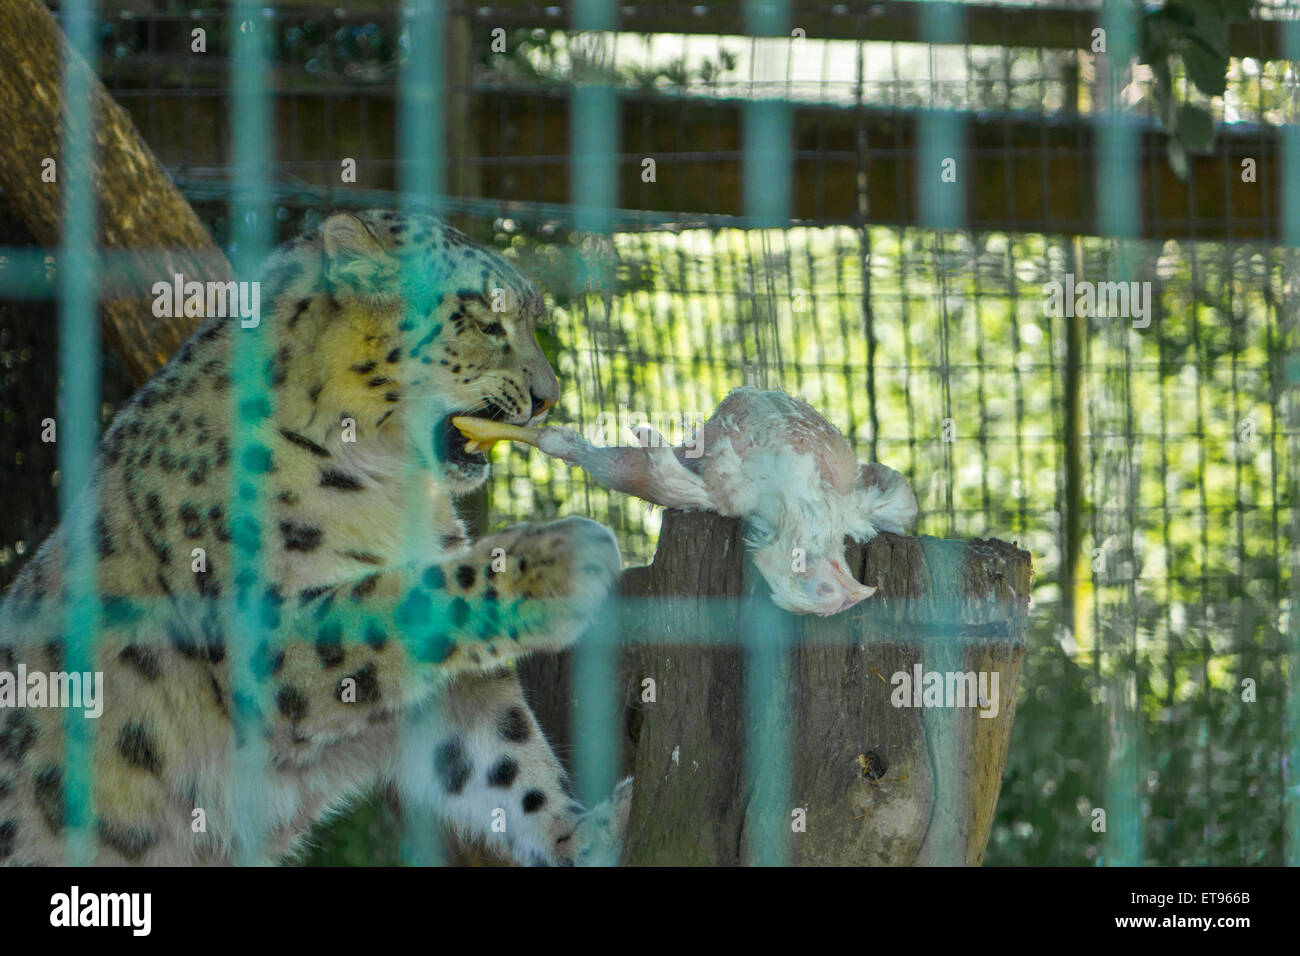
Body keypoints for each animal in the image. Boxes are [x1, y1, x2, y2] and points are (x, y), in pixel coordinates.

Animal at [0, 209, 631, 866]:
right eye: (485, 319)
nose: (547, 397)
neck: (389, 480)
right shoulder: (268, 637)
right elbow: (398, 602)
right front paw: (561, 559)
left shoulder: (451, 696)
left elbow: (501, 755)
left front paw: (582, 833)